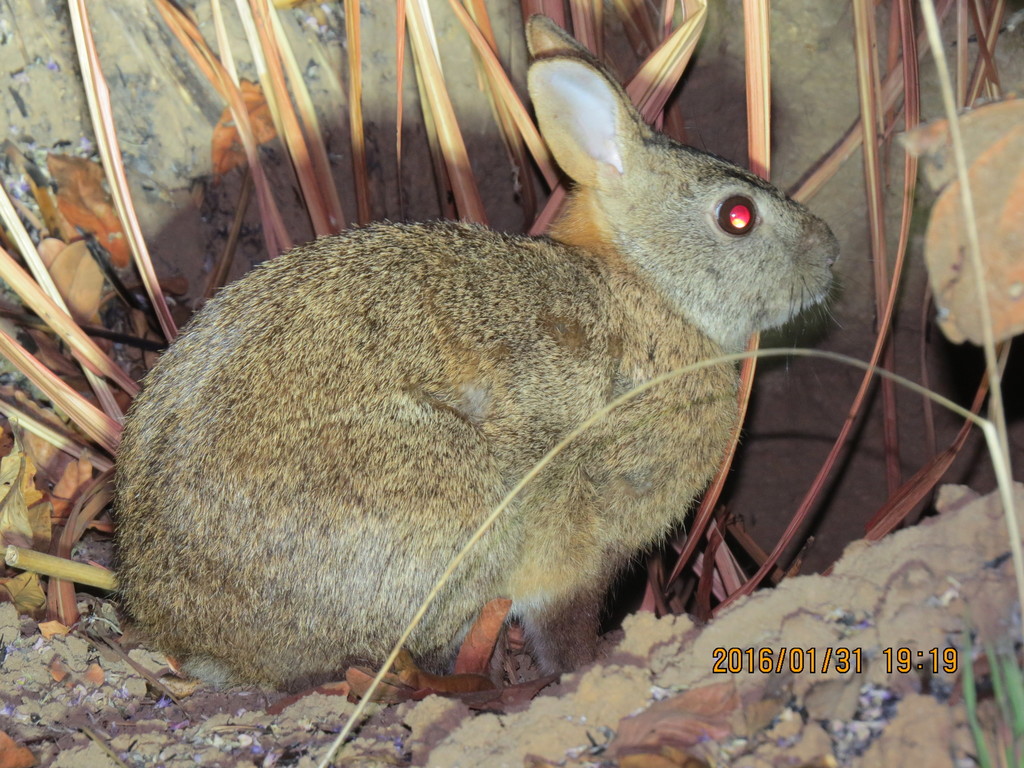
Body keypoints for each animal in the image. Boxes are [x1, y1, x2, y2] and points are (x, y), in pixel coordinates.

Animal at [114, 15, 838, 692]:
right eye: (737, 216)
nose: (830, 250)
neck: (647, 285)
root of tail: (183, 626)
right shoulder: (580, 535)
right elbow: (563, 618)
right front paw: (591, 666)